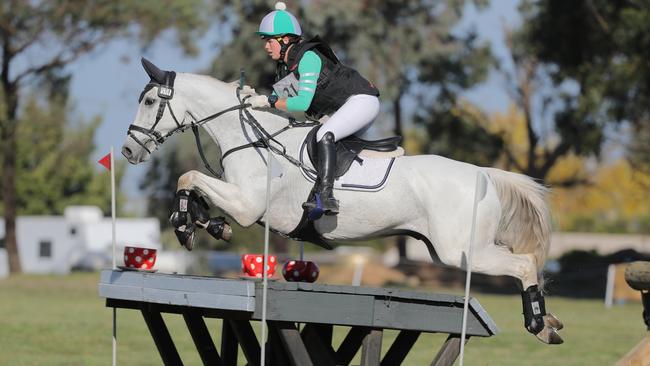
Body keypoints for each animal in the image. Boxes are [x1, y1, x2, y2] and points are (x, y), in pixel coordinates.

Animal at [120, 59, 560, 344]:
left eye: (148, 102)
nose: (127, 151)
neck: (250, 136)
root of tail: (484, 175)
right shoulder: (242, 202)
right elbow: (194, 184)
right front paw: (203, 223)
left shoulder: (248, 205)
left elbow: (189, 176)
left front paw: (185, 223)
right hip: (452, 249)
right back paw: (549, 321)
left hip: (461, 251)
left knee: (524, 263)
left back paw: (541, 326)